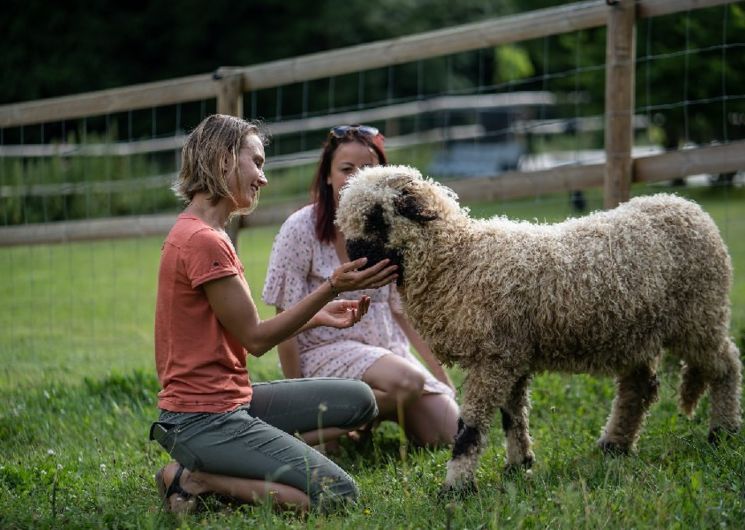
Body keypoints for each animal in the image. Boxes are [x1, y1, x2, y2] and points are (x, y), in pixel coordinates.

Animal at [336, 164, 740, 490]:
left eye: (376, 217)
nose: (352, 262)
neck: (459, 259)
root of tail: (685, 206)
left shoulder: (493, 358)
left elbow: (470, 429)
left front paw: (455, 488)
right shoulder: (510, 354)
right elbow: (513, 416)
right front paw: (518, 465)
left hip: (700, 314)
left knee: (726, 365)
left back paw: (722, 431)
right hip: (638, 330)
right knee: (639, 387)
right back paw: (614, 446)